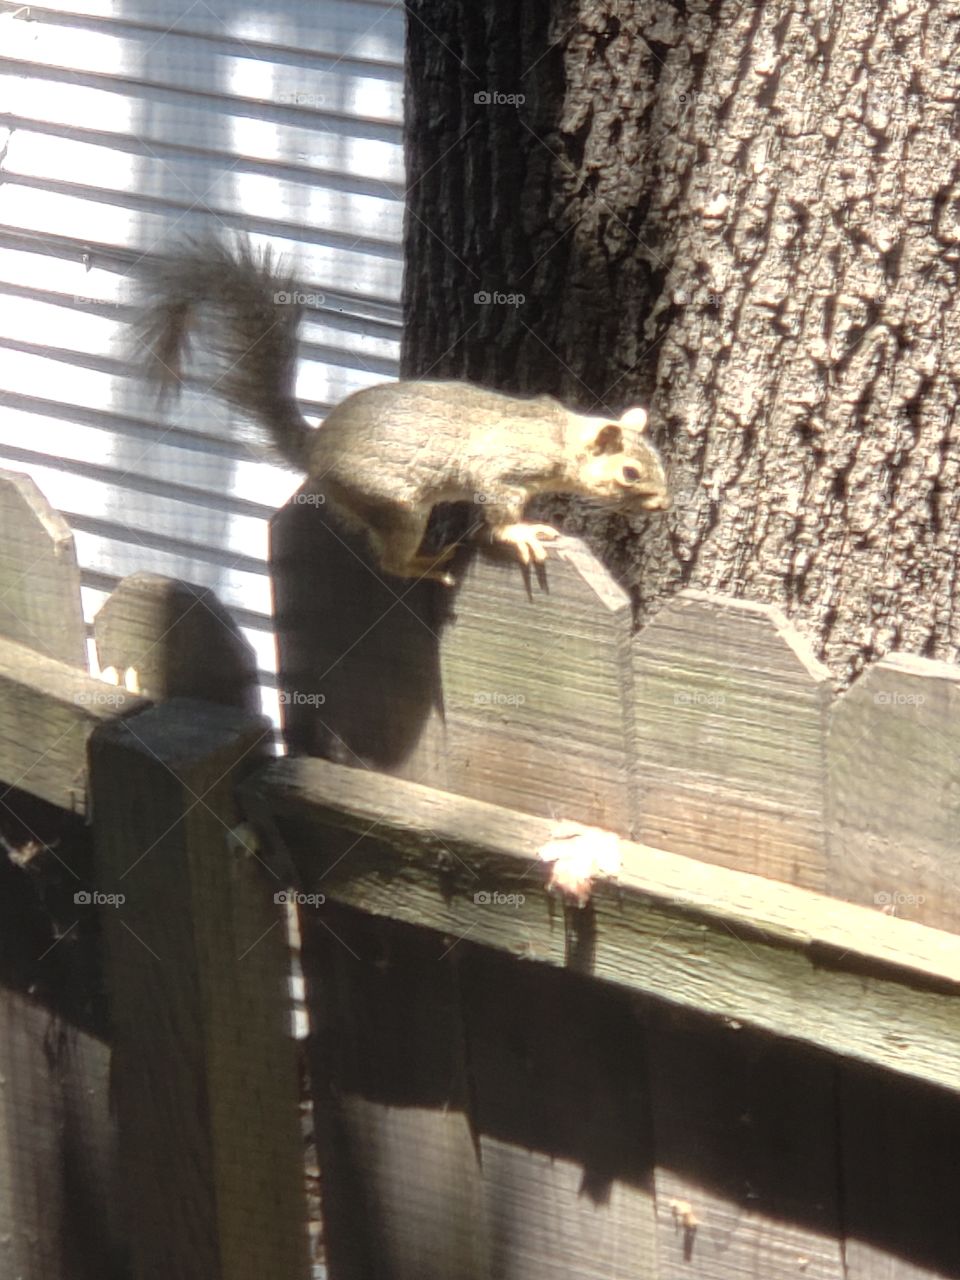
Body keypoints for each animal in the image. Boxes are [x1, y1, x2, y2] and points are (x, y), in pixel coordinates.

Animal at [133, 236, 671, 585]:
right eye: (629, 472)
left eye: (660, 462)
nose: (663, 505)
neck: (560, 436)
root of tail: (314, 450)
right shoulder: (504, 465)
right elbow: (497, 504)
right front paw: (521, 531)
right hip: (395, 506)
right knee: (388, 563)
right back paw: (425, 567)